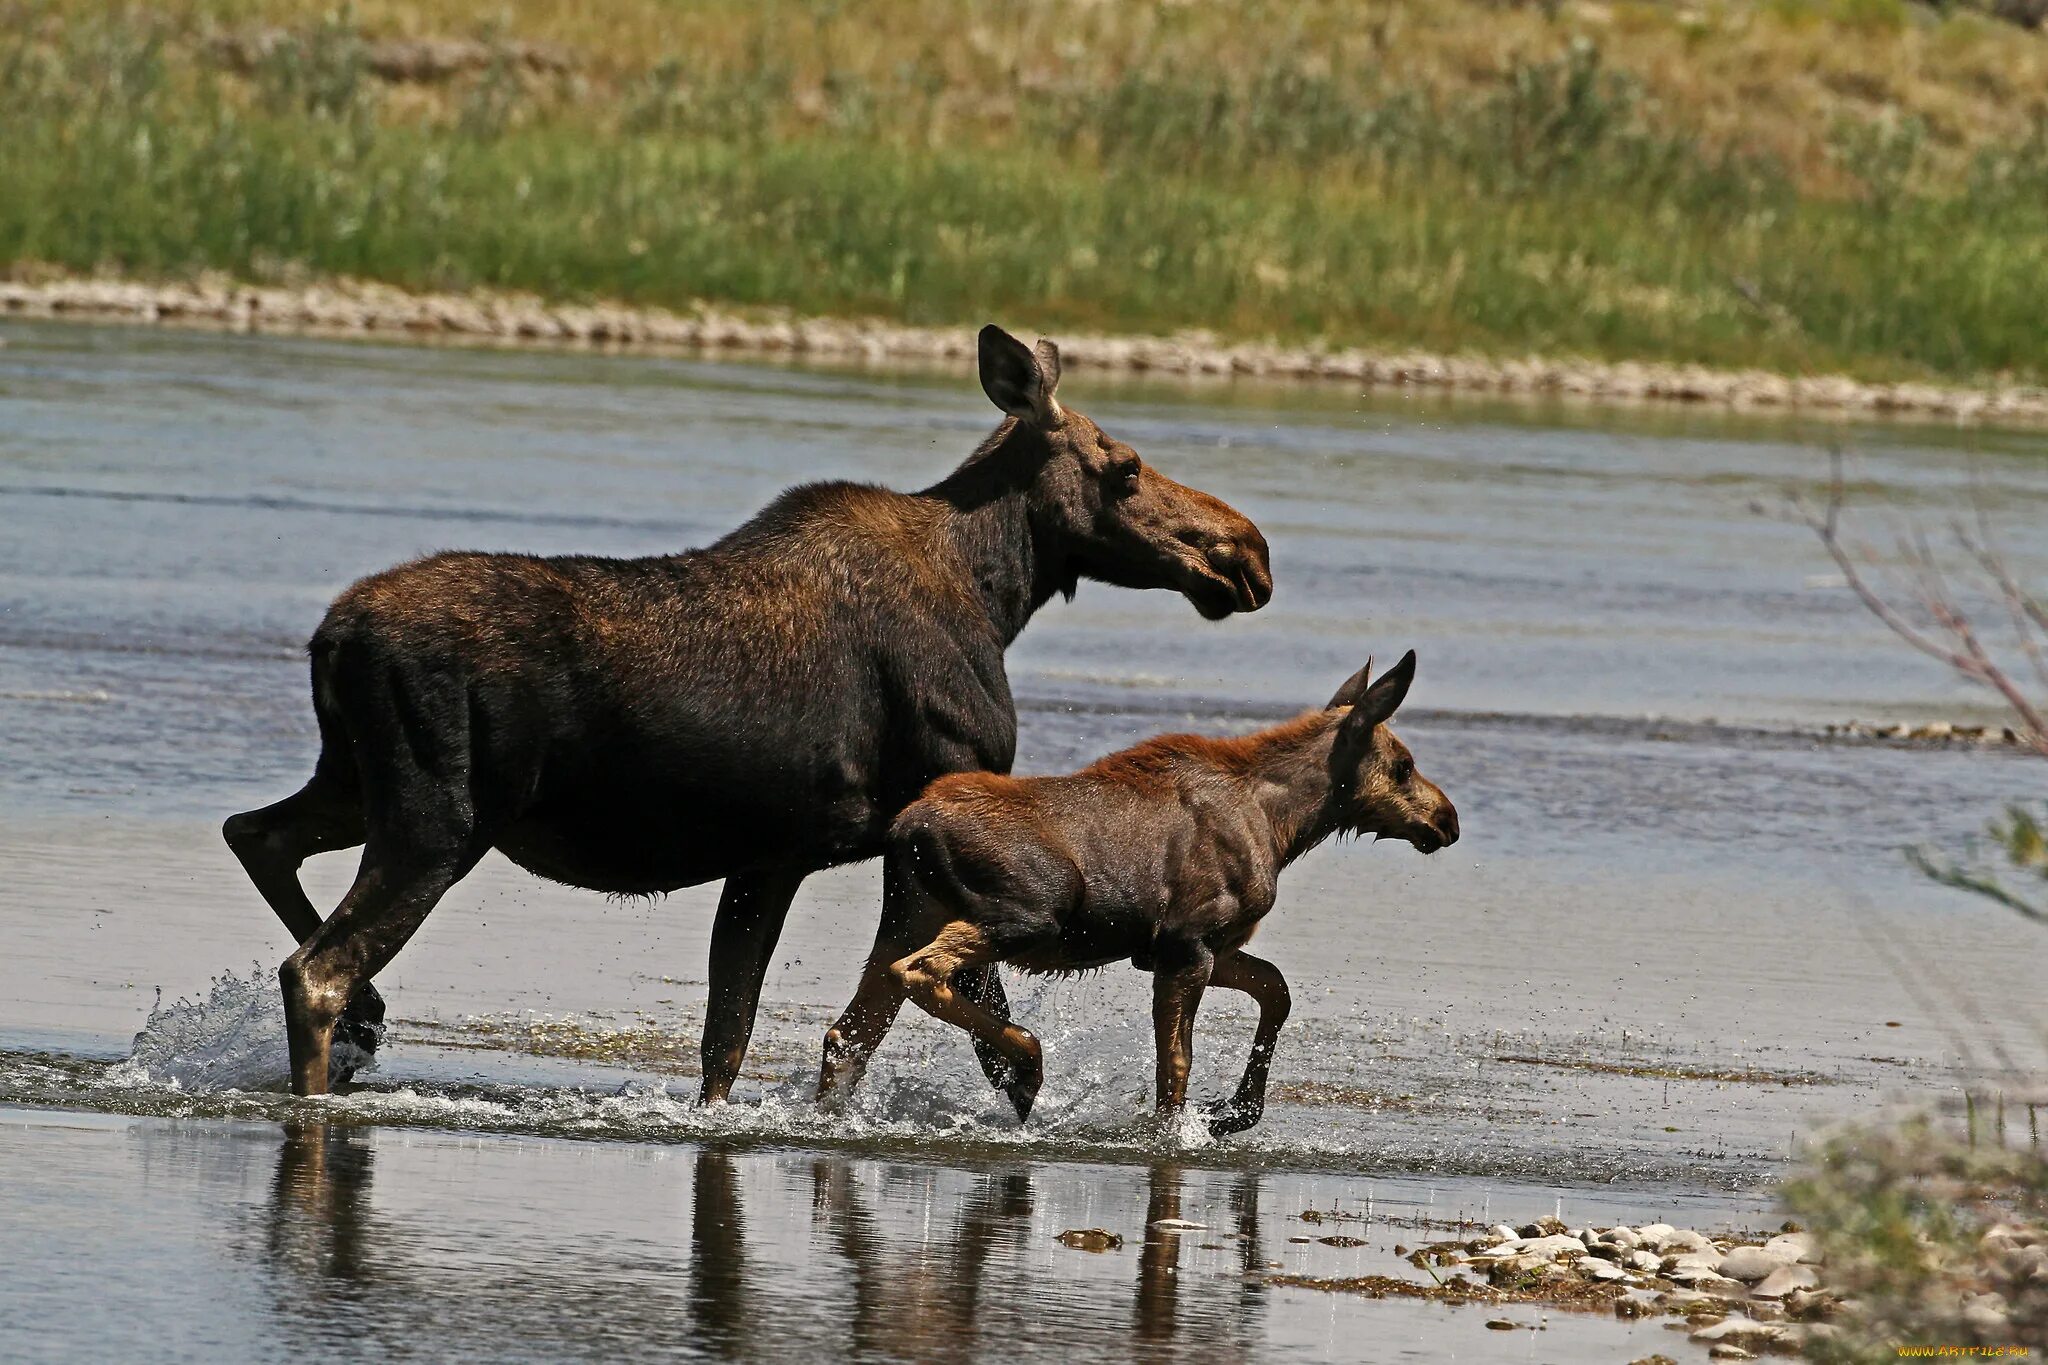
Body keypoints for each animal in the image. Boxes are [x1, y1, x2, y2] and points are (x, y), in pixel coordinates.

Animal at [232, 327, 1269, 1096]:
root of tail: (331, 637)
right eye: (1125, 468)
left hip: (356, 784)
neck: (998, 590)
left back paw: (368, 1018)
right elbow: (956, 1039)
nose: (1246, 551)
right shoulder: (932, 820)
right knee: (315, 968)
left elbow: (731, 1041)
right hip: (438, 816)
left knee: (256, 832)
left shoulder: (774, 856)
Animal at [815, 650, 1458, 1129]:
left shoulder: (1193, 948)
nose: (1448, 819)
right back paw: (1027, 1068)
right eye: (1403, 766)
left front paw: (1235, 1111)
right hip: (1026, 914)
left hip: (906, 916)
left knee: (849, 1032)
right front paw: (1182, 1131)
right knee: (921, 973)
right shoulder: (1185, 946)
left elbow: (1276, 990)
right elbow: (1176, 1065)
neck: (1285, 826)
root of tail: (905, 830)